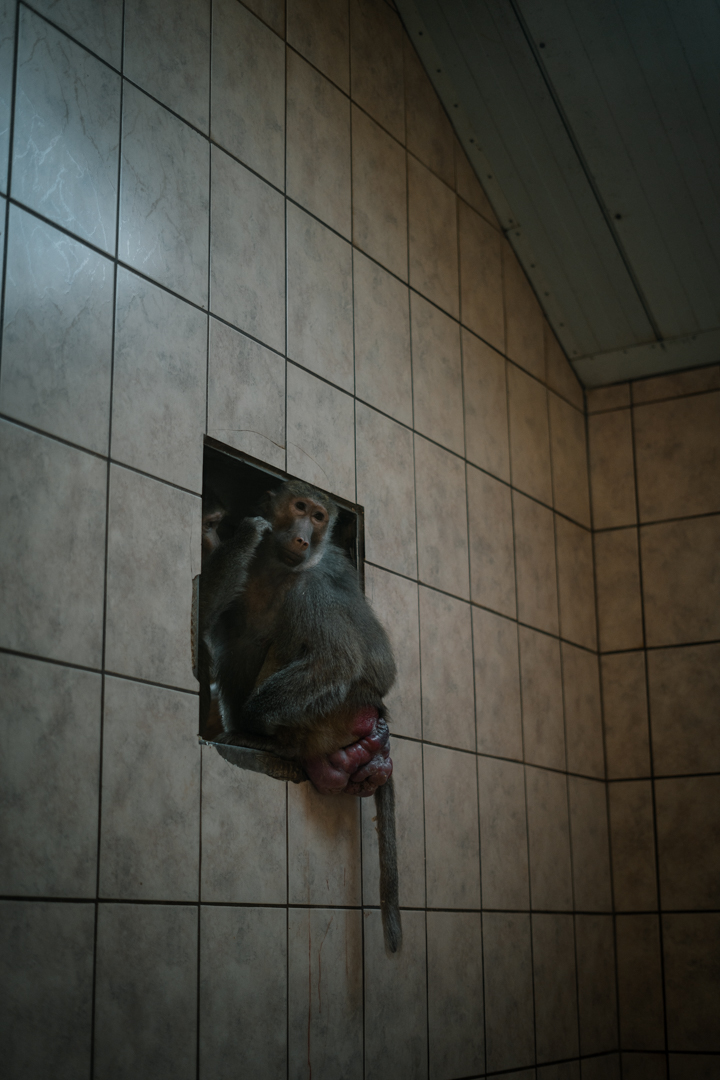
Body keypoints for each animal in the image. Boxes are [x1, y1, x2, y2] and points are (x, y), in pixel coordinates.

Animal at [198, 480, 402, 951]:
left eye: (320, 516)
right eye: (300, 507)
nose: (303, 537)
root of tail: (375, 710)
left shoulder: (317, 582)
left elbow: (337, 660)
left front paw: (253, 726)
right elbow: (207, 615)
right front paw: (247, 536)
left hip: (333, 714)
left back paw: (268, 742)